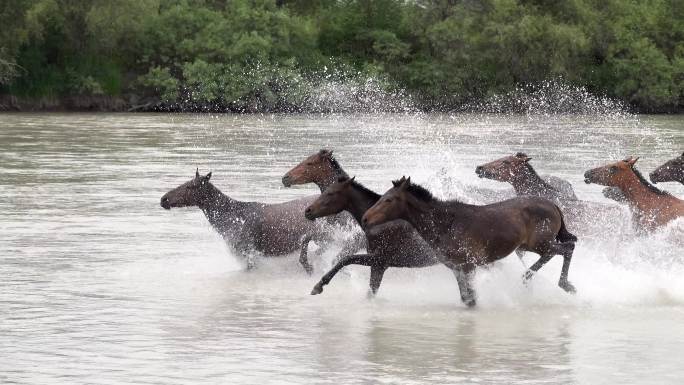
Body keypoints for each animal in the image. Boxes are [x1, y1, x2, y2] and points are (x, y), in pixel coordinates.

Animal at [304, 176, 438, 296]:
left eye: (330, 193)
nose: (308, 211)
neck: (380, 224)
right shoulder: (378, 266)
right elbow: (371, 293)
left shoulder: (380, 259)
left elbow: (345, 259)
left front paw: (318, 286)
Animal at [360, 176, 576, 306]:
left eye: (388, 200)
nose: (365, 218)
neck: (443, 225)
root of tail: (555, 206)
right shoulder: (456, 267)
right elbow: (467, 299)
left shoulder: (469, 265)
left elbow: (472, 299)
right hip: (528, 245)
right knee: (559, 250)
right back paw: (528, 277)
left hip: (540, 242)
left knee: (567, 248)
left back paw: (562, 284)